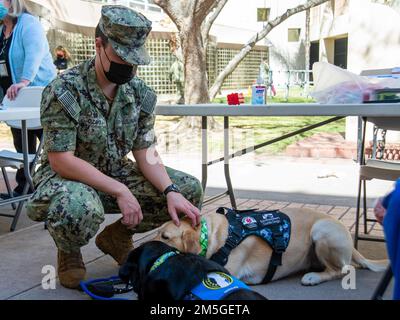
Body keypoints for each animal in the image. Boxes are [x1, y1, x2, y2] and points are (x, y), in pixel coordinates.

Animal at [155, 208, 390, 284]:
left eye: (165, 236)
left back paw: (313, 277)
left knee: (343, 270)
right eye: (156, 231)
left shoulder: (228, 273)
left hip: (321, 230)